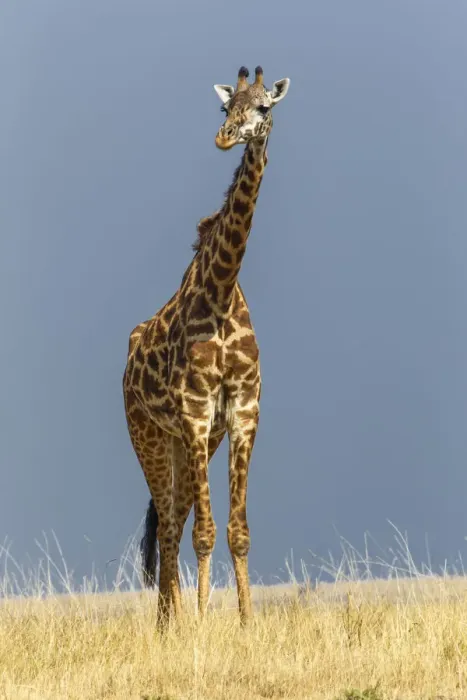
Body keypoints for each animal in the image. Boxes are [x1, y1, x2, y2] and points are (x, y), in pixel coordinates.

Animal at [123, 65, 290, 628]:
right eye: (225, 108)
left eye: (263, 107)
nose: (225, 137)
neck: (220, 291)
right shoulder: (195, 412)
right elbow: (204, 532)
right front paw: (200, 625)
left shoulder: (241, 412)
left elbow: (237, 532)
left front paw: (245, 623)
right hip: (149, 434)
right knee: (171, 524)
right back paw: (168, 626)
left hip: (189, 440)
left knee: (172, 517)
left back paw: (170, 622)